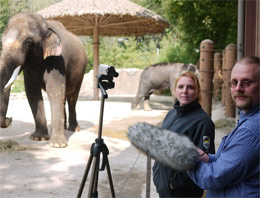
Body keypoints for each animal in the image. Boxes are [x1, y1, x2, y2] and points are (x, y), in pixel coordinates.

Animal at [0, 13, 87, 147]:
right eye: (2, 41)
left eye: (28, 42)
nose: (9, 119)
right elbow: (32, 92)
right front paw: (38, 138)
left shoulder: (57, 60)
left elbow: (54, 90)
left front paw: (57, 145)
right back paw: (65, 127)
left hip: (81, 70)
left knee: (73, 97)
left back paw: (73, 129)